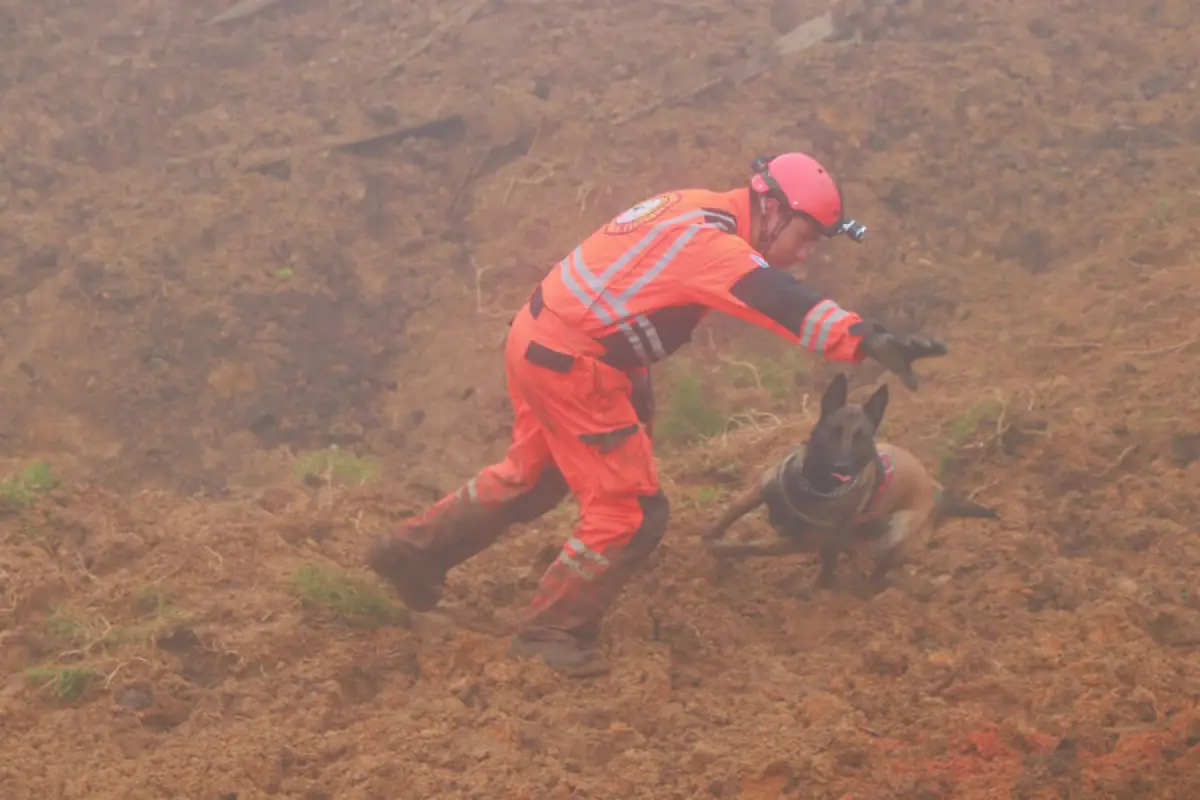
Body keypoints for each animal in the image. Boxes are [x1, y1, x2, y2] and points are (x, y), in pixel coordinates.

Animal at [700, 371, 998, 592]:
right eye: (834, 432)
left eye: (861, 437)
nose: (842, 467)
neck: (814, 485)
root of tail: (935, 488)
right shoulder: (758, 490)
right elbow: (730, 512)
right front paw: (709, 535)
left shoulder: (798, 542)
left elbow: (750, 546)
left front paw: (717, 550)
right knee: (836, 561)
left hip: (894, 538)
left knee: (874, 575)